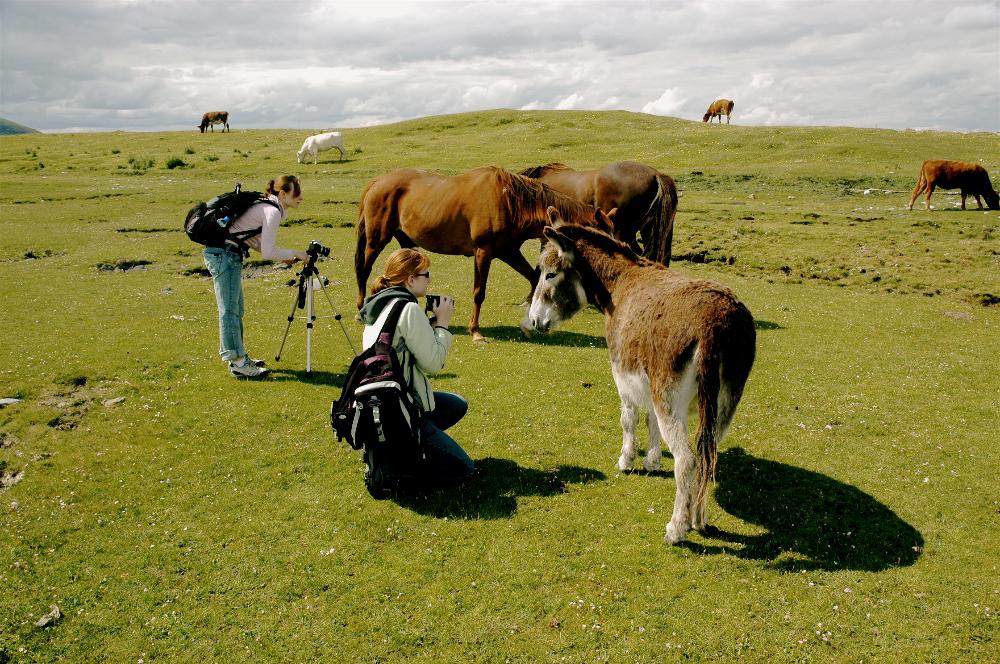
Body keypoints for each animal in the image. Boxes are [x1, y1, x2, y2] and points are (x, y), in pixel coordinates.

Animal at [352, 166, 616, 342]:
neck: (509, 201)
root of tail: (377, 182)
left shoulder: (509, 252)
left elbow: (534, 279)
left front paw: (528, 324)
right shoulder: (483, 252)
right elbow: (479, 292)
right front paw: (475, 331)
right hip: (377, 239)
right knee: (364, 270)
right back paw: (360, 311)